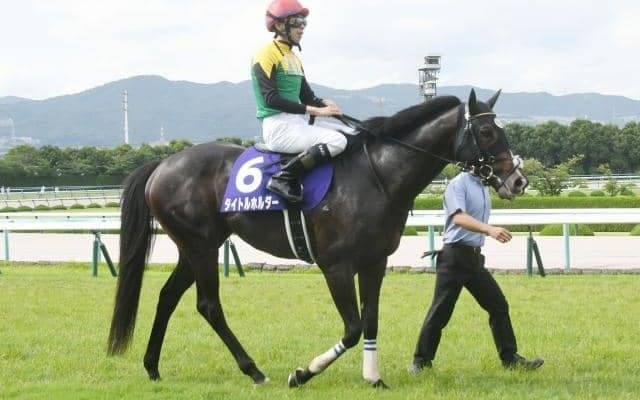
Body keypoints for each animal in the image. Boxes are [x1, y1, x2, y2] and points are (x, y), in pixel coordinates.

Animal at [107, 89, 528, 388]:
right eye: (487, 131)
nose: (518, 180)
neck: (377, 176)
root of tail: (163, 163)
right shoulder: (336, 266)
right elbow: (353, 328)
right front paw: (303, 373)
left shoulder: (375, 262)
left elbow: (371, 321)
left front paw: (373, 377)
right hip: (202, 247)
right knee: (208, 305)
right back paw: (254, 370)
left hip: (195, 247)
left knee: (167, 297)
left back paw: (152, 367)